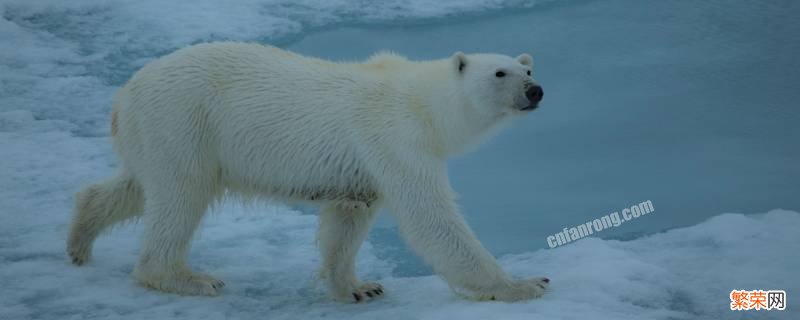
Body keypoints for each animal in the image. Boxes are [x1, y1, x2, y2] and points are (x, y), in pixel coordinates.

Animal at [65, 42, 548, 302]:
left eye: (528, 67)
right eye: (500, 72)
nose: (535, 90)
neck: (424, 103)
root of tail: (124, 95)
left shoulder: (362, 167)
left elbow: (348, 219)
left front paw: (358, 287)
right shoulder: (395, 136)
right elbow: (430, 217)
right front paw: (524, 284)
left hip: (155, 133)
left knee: (137, 185)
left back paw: (80, 239)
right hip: (184, 119)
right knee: (181, 194)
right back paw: (188, 278)